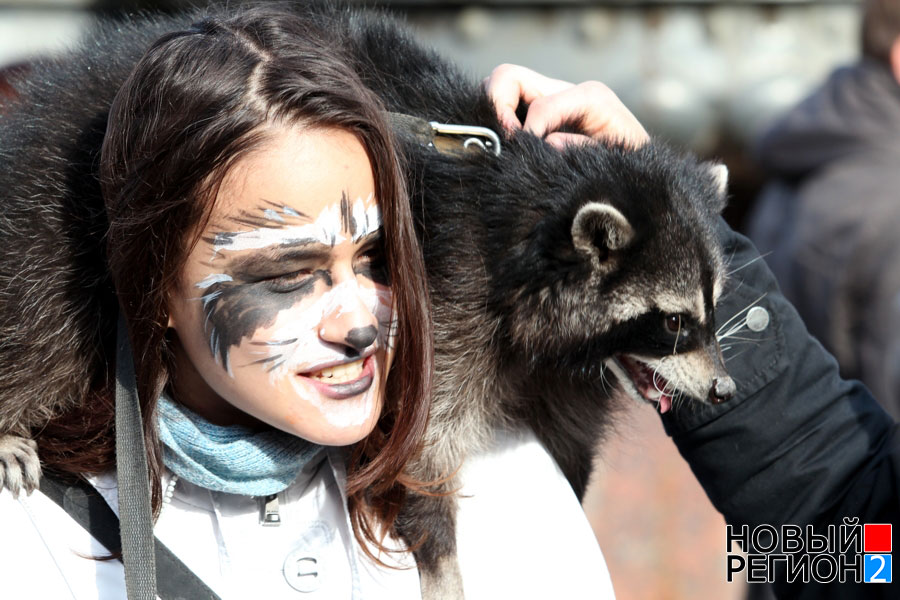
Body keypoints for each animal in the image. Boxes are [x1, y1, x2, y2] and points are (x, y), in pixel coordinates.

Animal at [0, 5, 732, 600]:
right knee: (44, 320)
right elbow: (423, 455)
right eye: (672, 321)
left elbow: (566, 448)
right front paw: (441, 561)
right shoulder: (447, 296)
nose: (725, 389)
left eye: (712, 309)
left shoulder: (556, 369)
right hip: (59, 210)